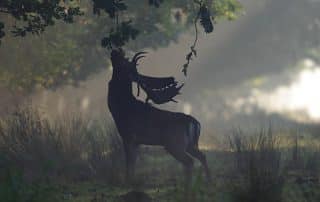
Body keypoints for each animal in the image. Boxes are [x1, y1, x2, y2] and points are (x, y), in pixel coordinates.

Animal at [107, 49, 211, 189]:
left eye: (124, 62)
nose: (116, 50)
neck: (120, 110)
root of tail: (195, 123)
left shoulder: (128, 136)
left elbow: (129, 163)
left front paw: (127, 183)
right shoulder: (136, 141)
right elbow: (133, 163)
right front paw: (132, 181)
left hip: (174, 143)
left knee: (189, 161)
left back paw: (187, 187)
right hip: (191, 144)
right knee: (202, 156)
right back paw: (209, 182)